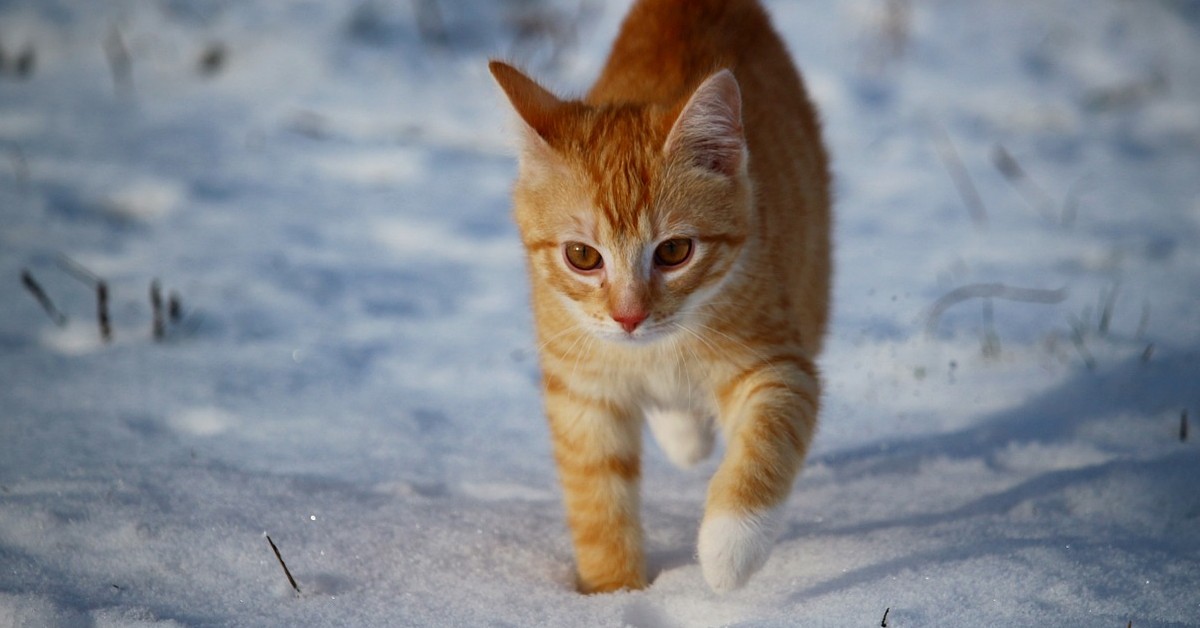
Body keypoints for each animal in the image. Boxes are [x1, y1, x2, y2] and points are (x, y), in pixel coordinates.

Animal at [492, 0, 830, 595]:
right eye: (582, 256)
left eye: (674, 251)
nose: (629, 316)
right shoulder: (581, 392)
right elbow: (598, 500)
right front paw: (613, 594)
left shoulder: (781, 366)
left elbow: (766, 440)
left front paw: (728, 549)